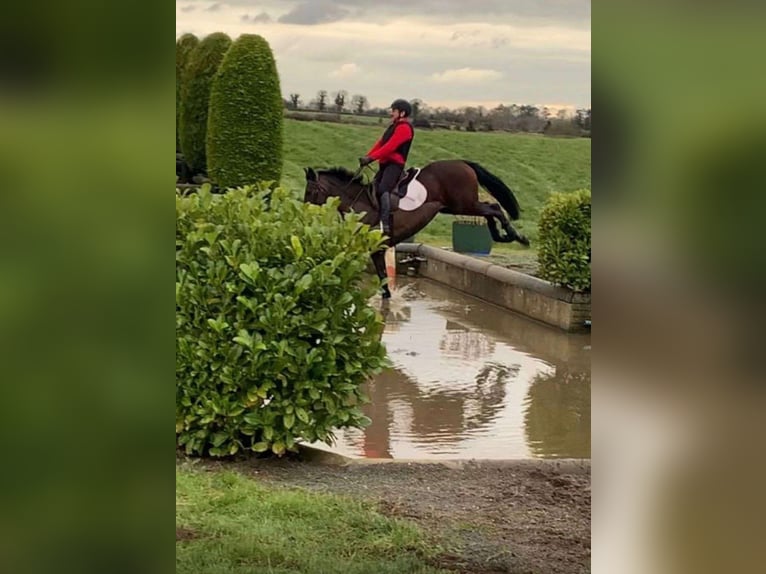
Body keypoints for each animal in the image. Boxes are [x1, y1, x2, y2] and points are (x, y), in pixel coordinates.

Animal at [303, 159, 529, 298]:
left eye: (311, 191)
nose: (305, 212)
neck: (358, 204)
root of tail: (462, 163)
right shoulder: (373, 249)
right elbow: (382, 282)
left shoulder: (375, 249)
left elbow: (383, 280)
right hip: (455, 206)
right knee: (489, 210)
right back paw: (501, 235)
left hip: (464, 204)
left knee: (494, 208)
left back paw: (516, 236)